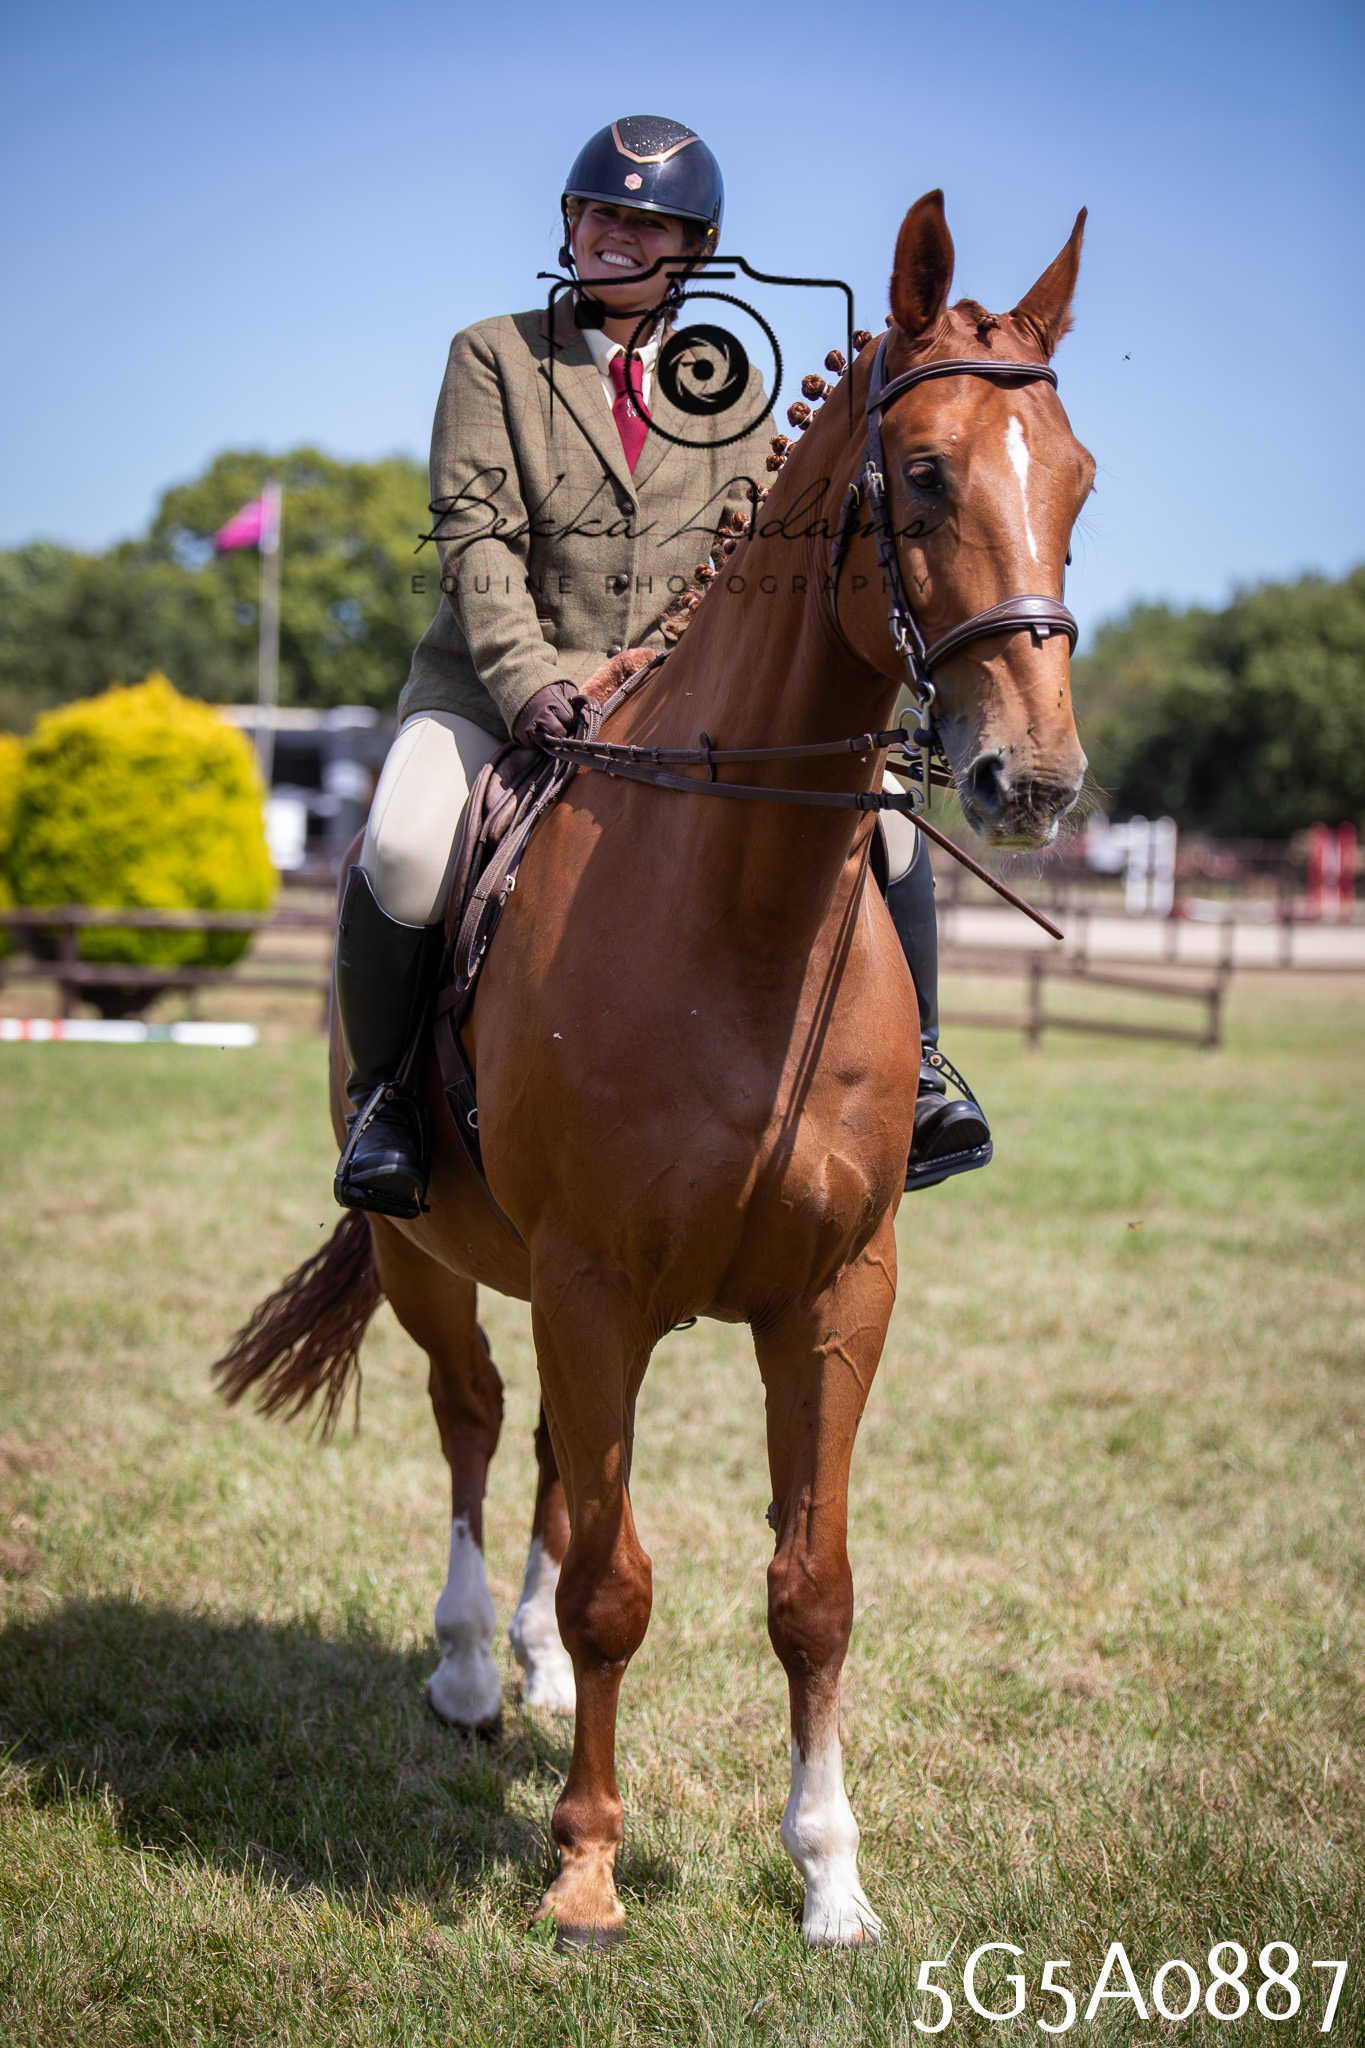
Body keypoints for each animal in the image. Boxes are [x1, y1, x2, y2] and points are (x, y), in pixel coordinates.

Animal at [215, 190, 1094, 1948]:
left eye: (1081, 478)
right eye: (922, 475)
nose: (1031, 778)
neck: (739, 915)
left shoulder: (837, 1293)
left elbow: (811, 1590)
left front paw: (830, 1877)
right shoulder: (593, 1280)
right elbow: (622, 1585)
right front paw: (585, 1872)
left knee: (558, 1464)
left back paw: (532, 1669)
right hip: (436, 1260)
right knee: (480, 1424)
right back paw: (475, 1669)